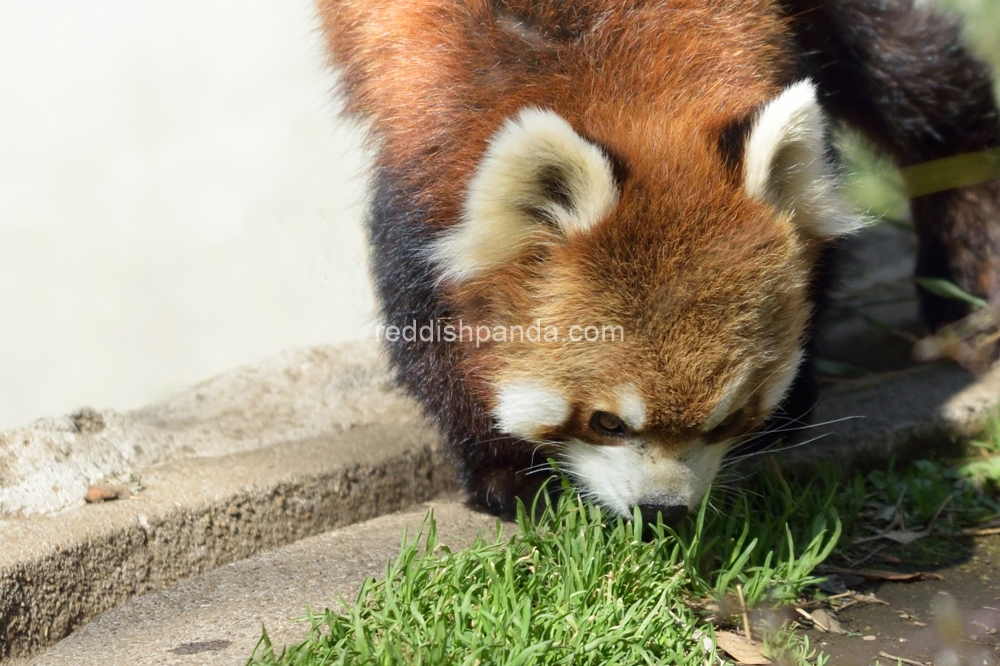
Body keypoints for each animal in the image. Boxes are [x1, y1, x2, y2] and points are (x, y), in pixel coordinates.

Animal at [318, 0, 1000, 520]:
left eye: (729, 418)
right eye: (605, 423)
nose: (663, 509)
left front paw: (790, 408)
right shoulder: (420, 147)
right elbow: (429, 326)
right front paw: (506, 472)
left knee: (917, 72)